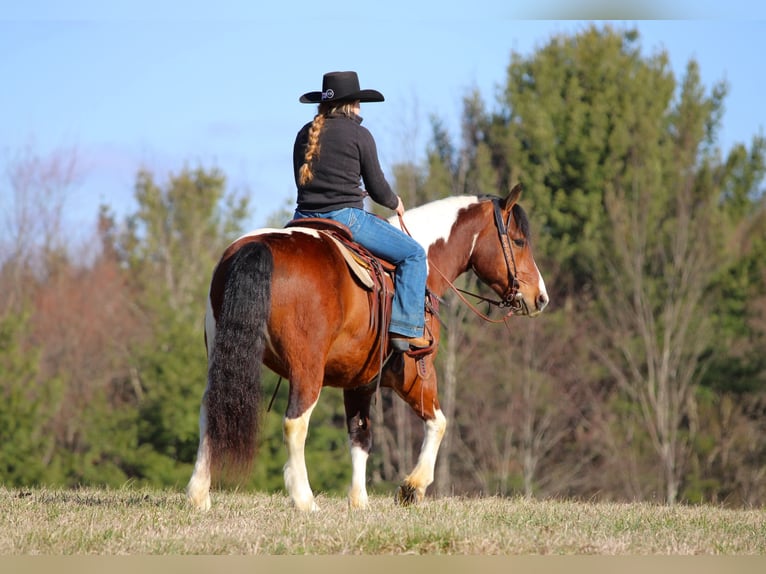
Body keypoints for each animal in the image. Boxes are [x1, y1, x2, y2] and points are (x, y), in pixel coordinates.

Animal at [186, 183, 549, 511]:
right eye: (518, 240)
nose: (540, 297)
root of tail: (259, 246)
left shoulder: (359, 380)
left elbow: (360, 436)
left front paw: (359, 501)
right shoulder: (414, 373)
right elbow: (439, 422)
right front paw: (413, 487)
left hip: (221, 356)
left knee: (210, 410)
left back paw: (198, 494)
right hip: (307, 369)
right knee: (295, 422)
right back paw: (304, 500)